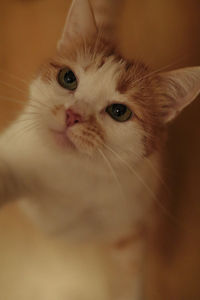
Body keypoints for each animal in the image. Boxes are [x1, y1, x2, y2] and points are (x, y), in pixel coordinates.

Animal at [0, 0, 200, 298]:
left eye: (119, 111)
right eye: (67, 78)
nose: (73, 115)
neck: (73, 171)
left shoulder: (130, 227)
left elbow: (130, 277)